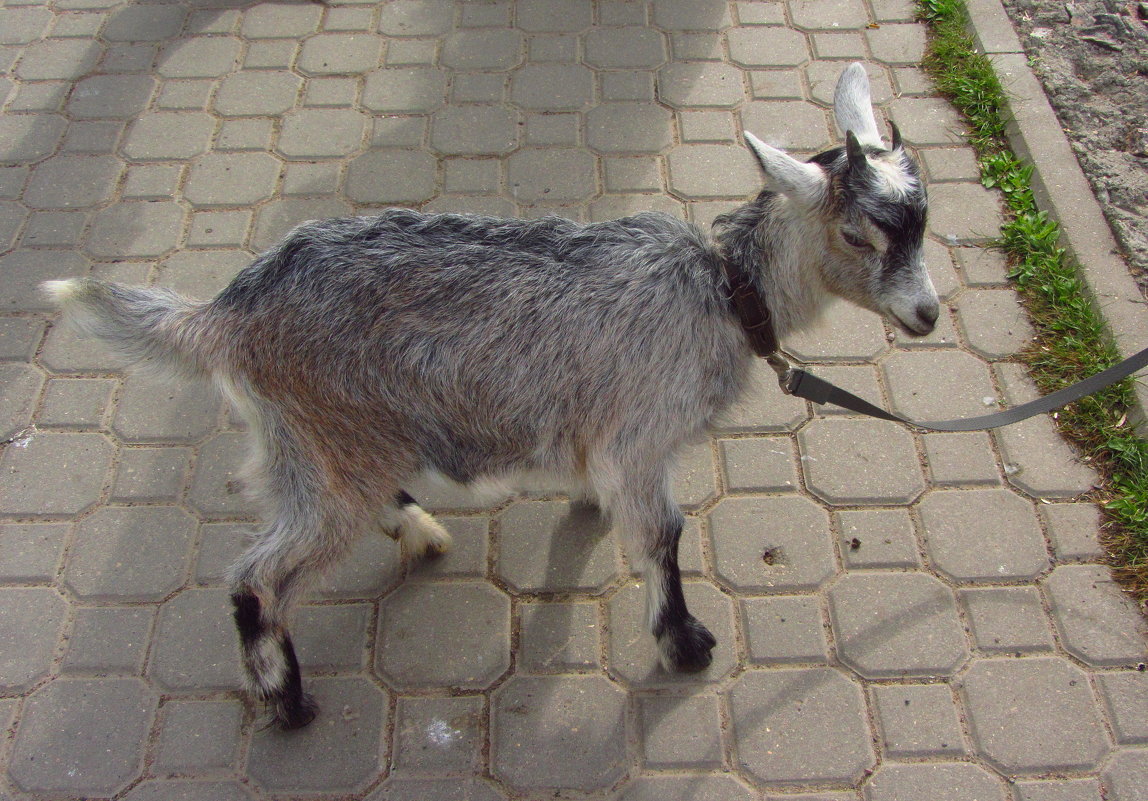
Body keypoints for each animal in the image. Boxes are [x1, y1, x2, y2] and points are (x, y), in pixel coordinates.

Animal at [47, 60, 941, 725]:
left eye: (923, 223)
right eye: (858, 234)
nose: (928, 314)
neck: (723, 290)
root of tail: (226, 314)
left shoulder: (610, 431)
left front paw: (589, 507)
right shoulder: (641, 436)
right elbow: (663, 535)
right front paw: (682, 641)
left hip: (331, 438)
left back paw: (416, 527)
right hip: (323, 440)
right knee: (257, 578)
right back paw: (288, 699)